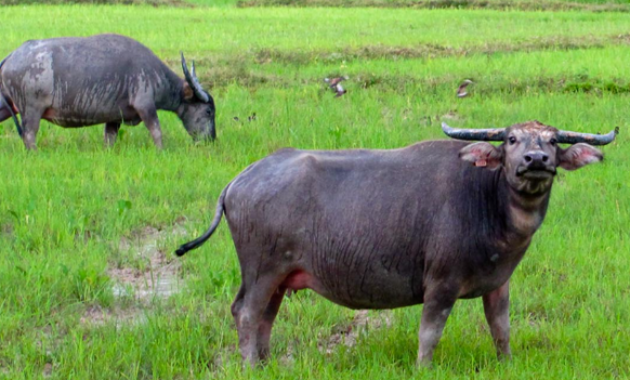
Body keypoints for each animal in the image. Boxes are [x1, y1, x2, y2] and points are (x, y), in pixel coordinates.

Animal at [0, 33, 216, 150]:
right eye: (208, 112)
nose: (211, 139)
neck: (155, 73)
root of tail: (12, 56)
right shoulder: (145, 105)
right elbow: (156, 130)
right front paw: (161, 150)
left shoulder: (114, 118)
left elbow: (109, 139)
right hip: (31, 110)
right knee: (29, 135)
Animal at [175, 120, 620, 366]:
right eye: (511, 140)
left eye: (553, 142)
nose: (535, 160)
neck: (487, 200)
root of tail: (240, 179)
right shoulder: (440, 284)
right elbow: (430, 334)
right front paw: (425, 367)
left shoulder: (499, 284)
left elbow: (501, 329)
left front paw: (506, 363)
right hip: (262, 269)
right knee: (247, 313)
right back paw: (250, 365)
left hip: (280, 276)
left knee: (265, 317)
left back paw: (266, 364)